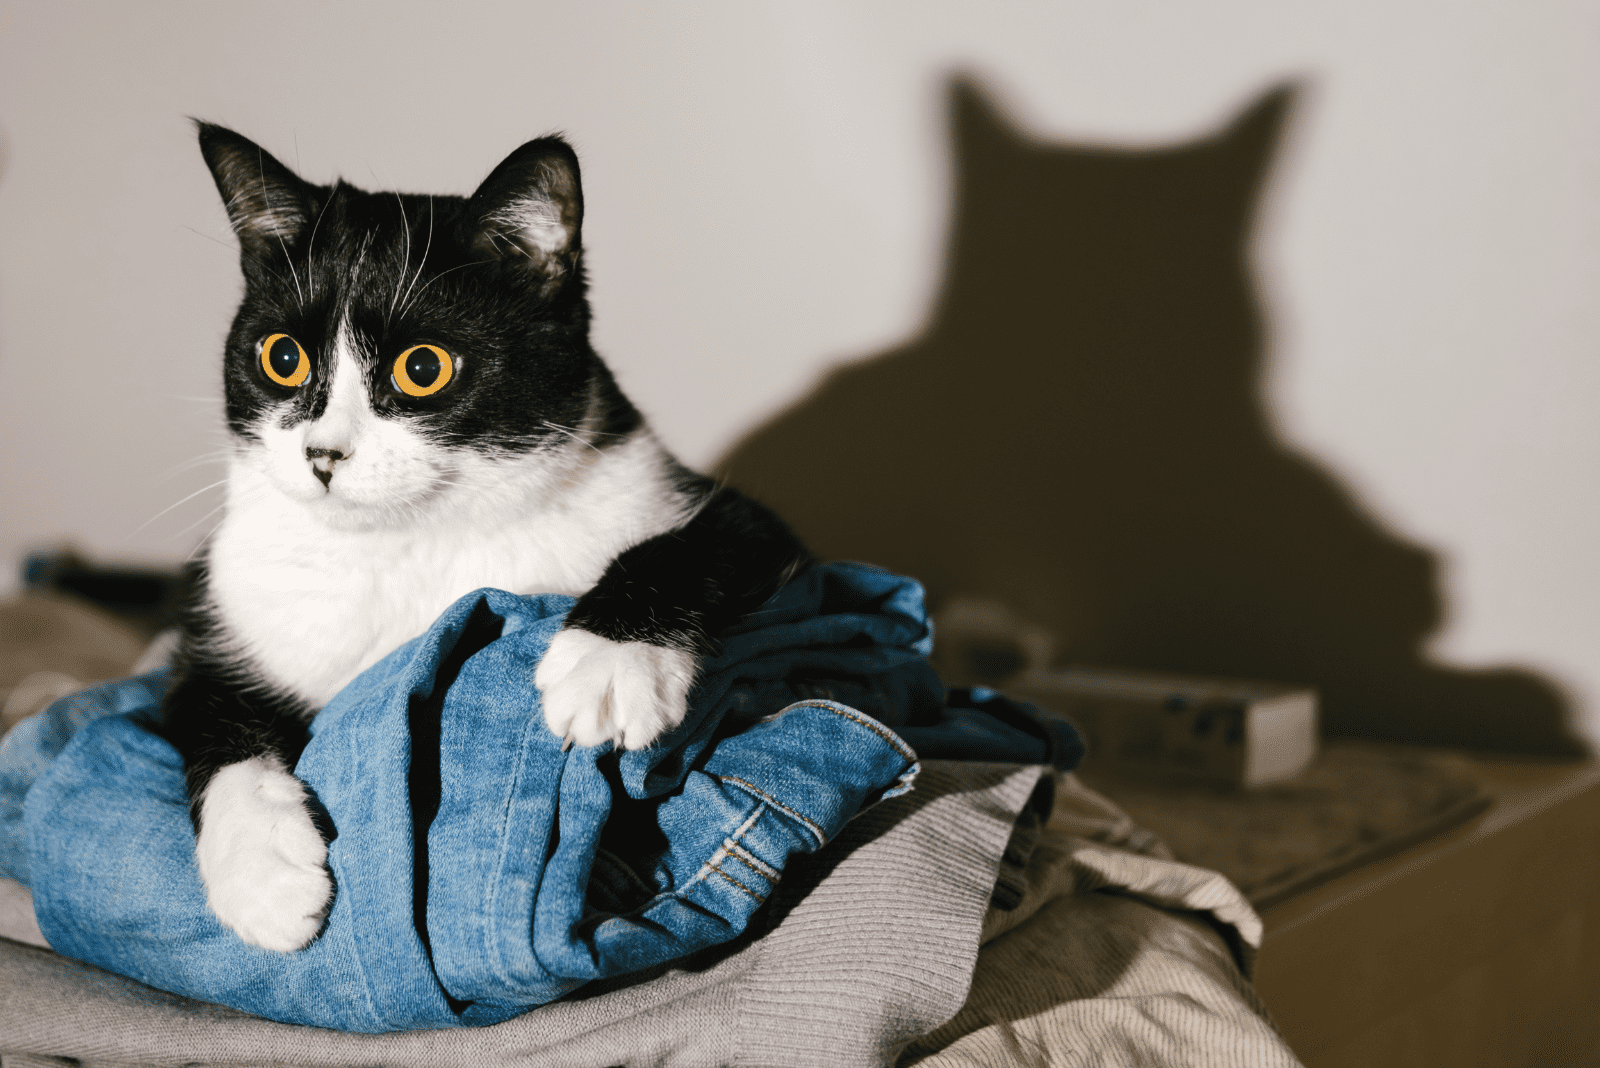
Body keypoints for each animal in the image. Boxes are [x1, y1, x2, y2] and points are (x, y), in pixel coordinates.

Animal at [165, 125, 812, 952]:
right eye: (282, 357)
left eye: (423, 367)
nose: (322, 455)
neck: (412, 545)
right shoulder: (226, 614)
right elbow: (204, 711)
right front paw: (263, 875)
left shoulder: (742, 524)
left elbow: (692, 546)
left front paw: (608, 664)